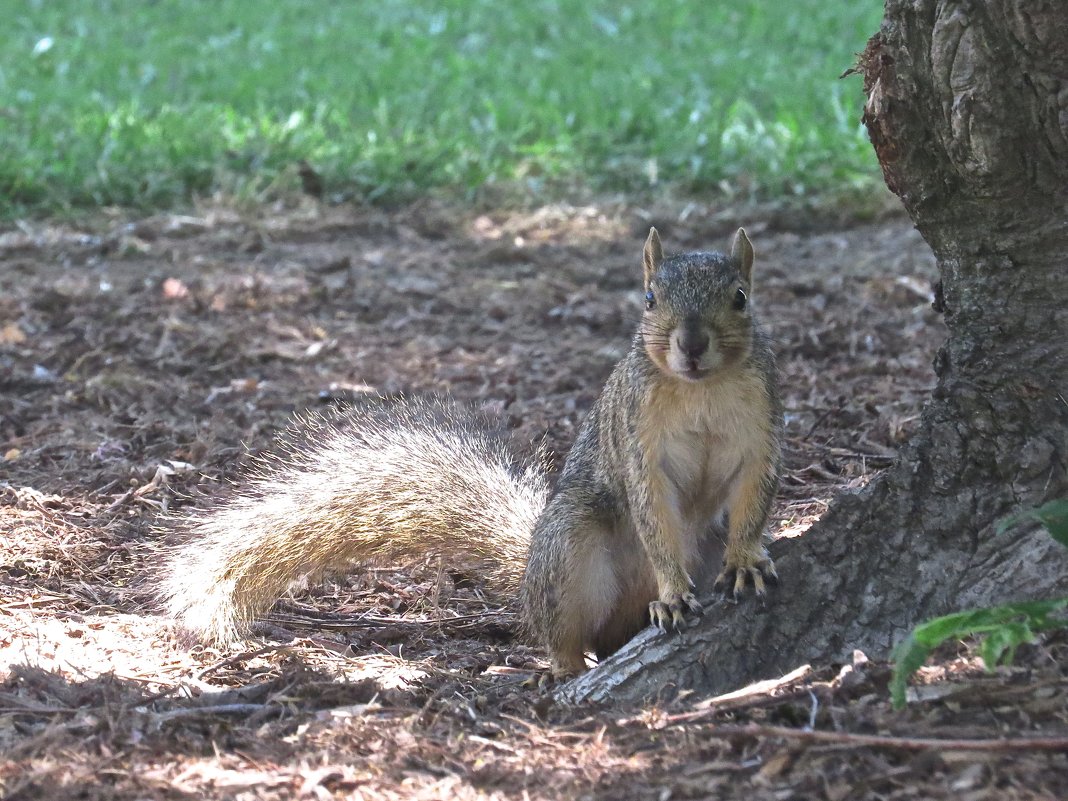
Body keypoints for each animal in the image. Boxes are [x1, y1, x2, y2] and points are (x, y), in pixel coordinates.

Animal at [162, 228, 781, 679]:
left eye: (741, 298)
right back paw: (566, 666)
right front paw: (673, 591)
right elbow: (651, 509)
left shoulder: (762, 425)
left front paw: (746, 559)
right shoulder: (637, 438)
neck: (700, 390)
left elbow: (756, 494)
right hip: (570, 547)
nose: (693, 344)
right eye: (650, 299)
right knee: (565, 630)